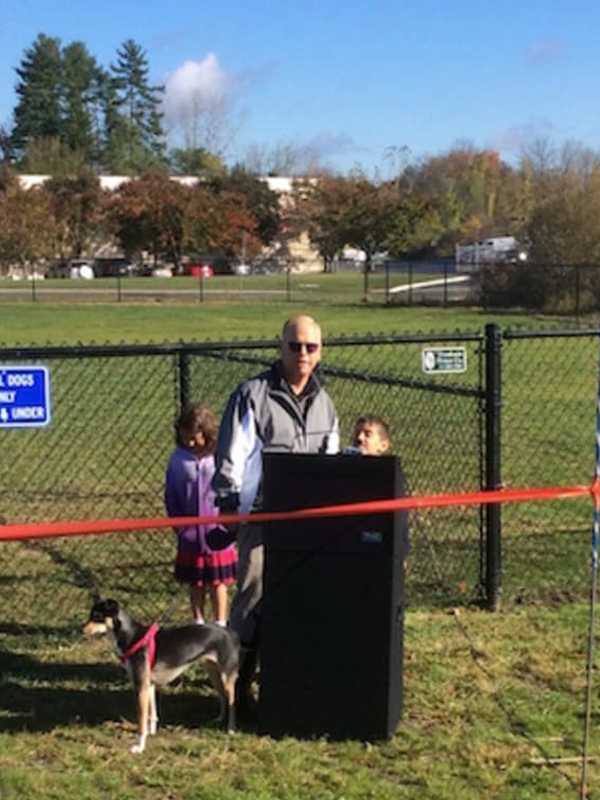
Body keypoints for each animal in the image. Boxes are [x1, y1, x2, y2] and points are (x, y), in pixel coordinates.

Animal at [82, 596, 241, 752]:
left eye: (97, 617)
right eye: (91, 615)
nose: (82, 630)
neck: (131, 636)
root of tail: (230, 632)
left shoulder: (141, 686)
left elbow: (141, 720)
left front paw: (140, 746)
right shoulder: (149, 685)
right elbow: (152, 714)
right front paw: (151, 732)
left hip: (227, 677)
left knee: (232, 702)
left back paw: (231, 729)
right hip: (214, 674)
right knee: (222, 696)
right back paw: (219, 719)